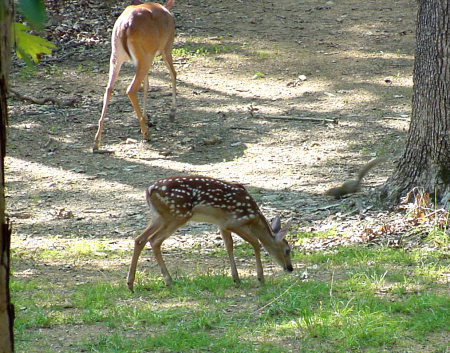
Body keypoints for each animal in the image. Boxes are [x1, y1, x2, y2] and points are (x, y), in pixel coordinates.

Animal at [93, 0, 178, 150]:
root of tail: (125, 26)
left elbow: (147, 85)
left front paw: (146, 115)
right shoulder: (166, 47)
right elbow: (173, 74)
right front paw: (172, 112)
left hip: (116, 56)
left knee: (109, 88)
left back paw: (96, 142)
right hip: (146, 55)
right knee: (131, 89)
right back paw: (146, 133)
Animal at [126, 176, 296, 288]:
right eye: (287, 250)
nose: (290, 268)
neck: (254, 218)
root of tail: (149, 190)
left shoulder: (222, 225)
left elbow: (229, 247)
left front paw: (236, 279)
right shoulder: (235, 222)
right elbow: (255, 242)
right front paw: (260, 278)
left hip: (160, 216)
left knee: (140, 239)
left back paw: (130, 283)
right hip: (177, 214)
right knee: (155, 240)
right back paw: (168, 281)